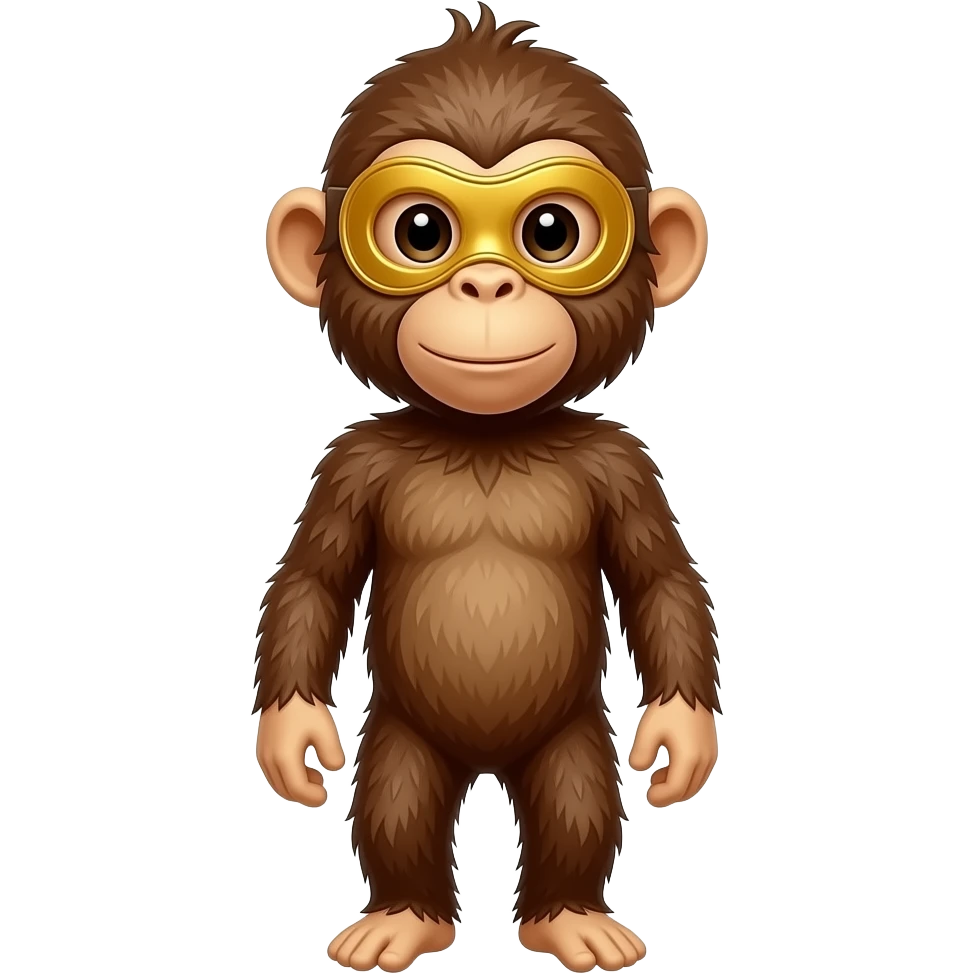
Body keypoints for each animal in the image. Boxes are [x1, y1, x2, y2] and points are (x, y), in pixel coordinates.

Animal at [257, 6, 720, 972]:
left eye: (550, 232)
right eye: (421, 233)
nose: (486, 284)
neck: (486, 439)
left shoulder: (623, 462)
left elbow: (661, 578)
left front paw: (681, 738)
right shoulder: (350, 462)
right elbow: (313, 579)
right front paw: (293, 739)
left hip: (571, 735)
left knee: (576, 800)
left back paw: (569, 916)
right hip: (403, 737)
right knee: (397, 800)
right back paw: (404, 917)